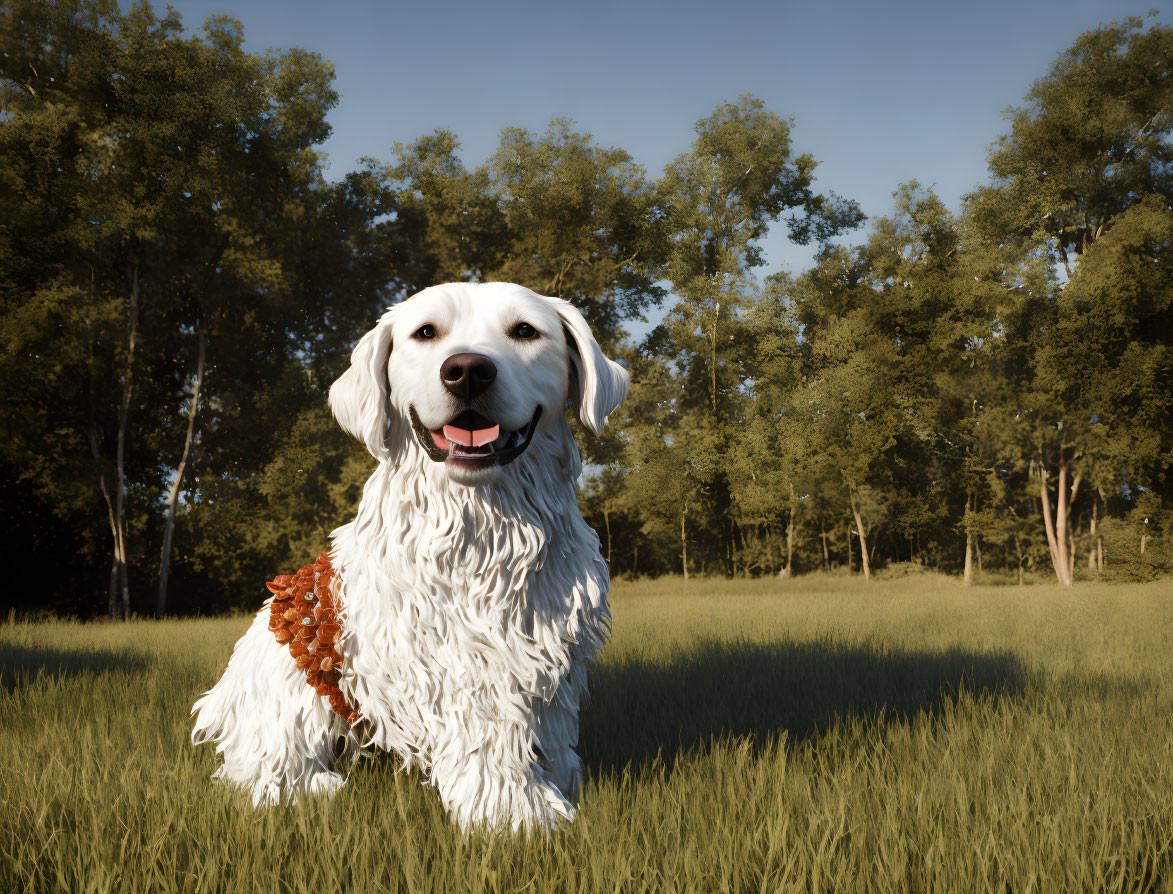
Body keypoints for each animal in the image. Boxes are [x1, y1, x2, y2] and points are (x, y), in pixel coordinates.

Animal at [190, 280, 633, 830]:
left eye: (525, 331)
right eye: (425, 332)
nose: (467, 370)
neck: (485, 520)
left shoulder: (552, 649)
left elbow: (550, 730)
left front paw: (561, 786)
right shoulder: (461, 662)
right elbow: (489, 741)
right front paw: (516, 816)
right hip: (294, 690)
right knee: (259, 767)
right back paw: (312, 788)